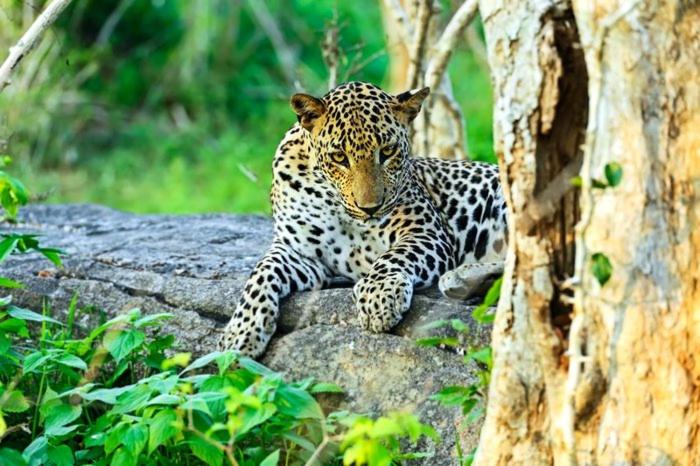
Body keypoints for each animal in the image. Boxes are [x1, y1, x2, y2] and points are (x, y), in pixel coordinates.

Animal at [219, 81, 507, 358]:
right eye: (339, 157)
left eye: (388, 151)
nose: (370, 208)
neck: (338, 206)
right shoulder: (299, 251)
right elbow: (261, 272)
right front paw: (239, 332)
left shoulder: (426, 231)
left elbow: (395, 255)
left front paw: (378, 297)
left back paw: (459, 278)